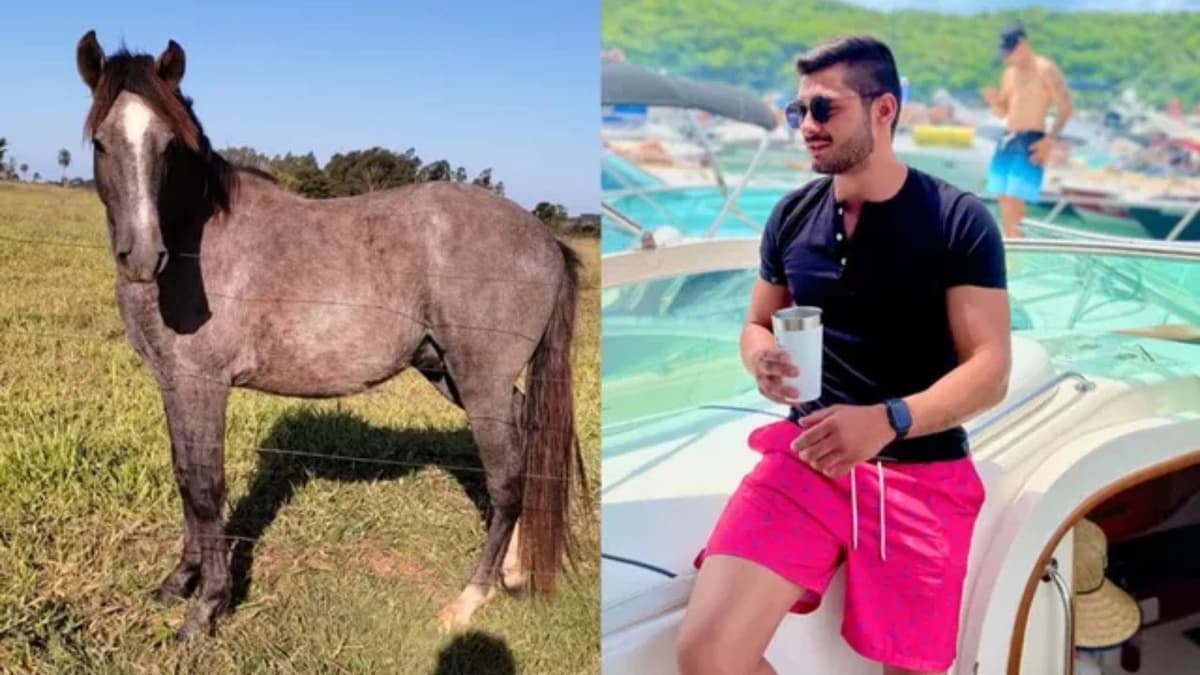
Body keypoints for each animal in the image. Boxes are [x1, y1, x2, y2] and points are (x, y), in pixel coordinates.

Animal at [74, 30, 582, 639]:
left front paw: (207, 608)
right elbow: (184, 478)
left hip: (479, 380)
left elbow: (205, 486)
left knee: (505, 479)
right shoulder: (173, 385)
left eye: (170, 145)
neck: (197, 242)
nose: (142, 255)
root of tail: (546, 238)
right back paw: (513, 571)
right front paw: (177, 583)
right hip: (451, 371)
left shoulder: (204, 386)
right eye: (101, 142)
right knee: (524, 443)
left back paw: (468, 599)